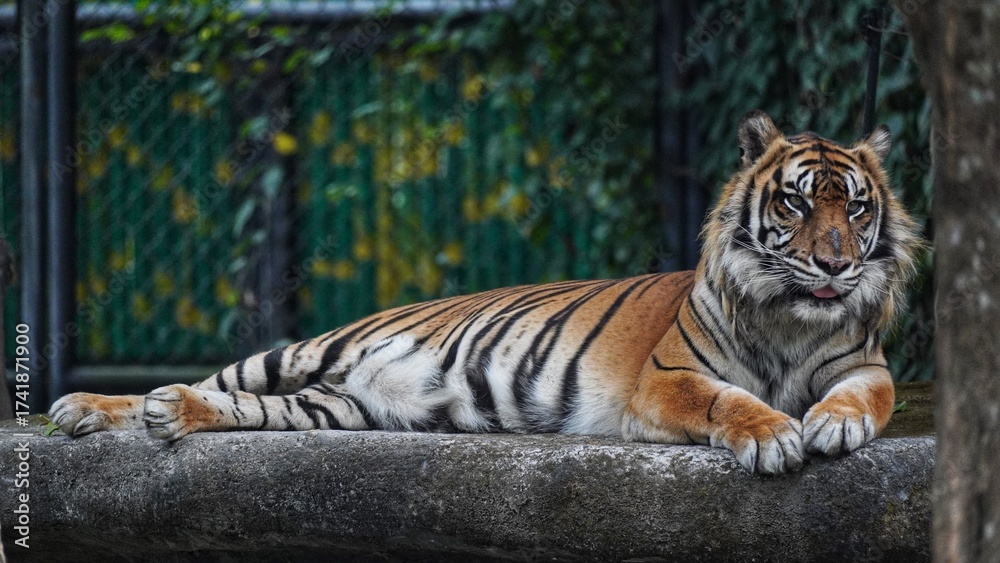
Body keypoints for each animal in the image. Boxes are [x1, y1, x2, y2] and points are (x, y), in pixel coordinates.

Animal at [49, 110, 921, 475]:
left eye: (857, 208)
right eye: (796, 204)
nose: (837, 266)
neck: (791, 319)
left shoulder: (866, 366)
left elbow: (861, 398)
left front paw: (832, 425)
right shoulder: (670, 378)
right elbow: (728, 400)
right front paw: (774, 434)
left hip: (335, 406)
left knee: (235, 407)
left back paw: (169, 413)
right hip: (303, 352)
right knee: (213, 380)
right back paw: (90, 407)